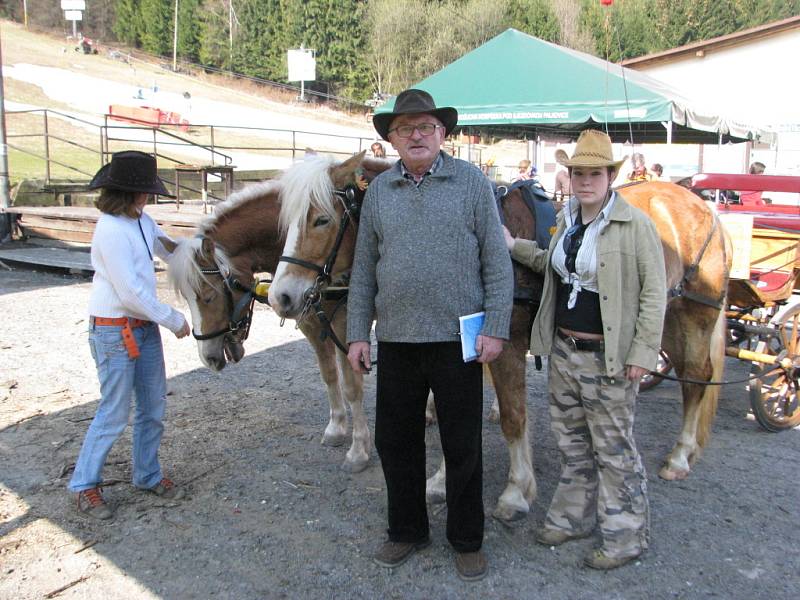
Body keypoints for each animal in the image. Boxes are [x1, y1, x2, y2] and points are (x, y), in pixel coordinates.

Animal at [166, 179, 372, 474]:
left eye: (208, 296)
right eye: (186, 298)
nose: (208, 358)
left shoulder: (344, 324)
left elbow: (352, 387)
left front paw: (358, 450)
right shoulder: (311, 323)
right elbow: (329, 375)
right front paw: (336, 427)